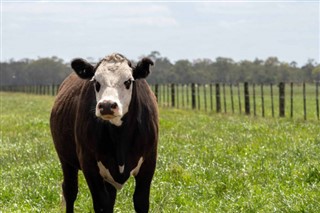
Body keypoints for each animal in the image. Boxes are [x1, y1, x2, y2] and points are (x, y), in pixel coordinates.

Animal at [50, 53, 159, 213]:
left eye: (128, 81)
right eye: (96, 82)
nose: (107, 105)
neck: (120, 137)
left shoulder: (149, 162)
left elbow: (141, 202)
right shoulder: (89, 165)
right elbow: (102, 204)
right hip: (66, 160)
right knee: (70, 191)